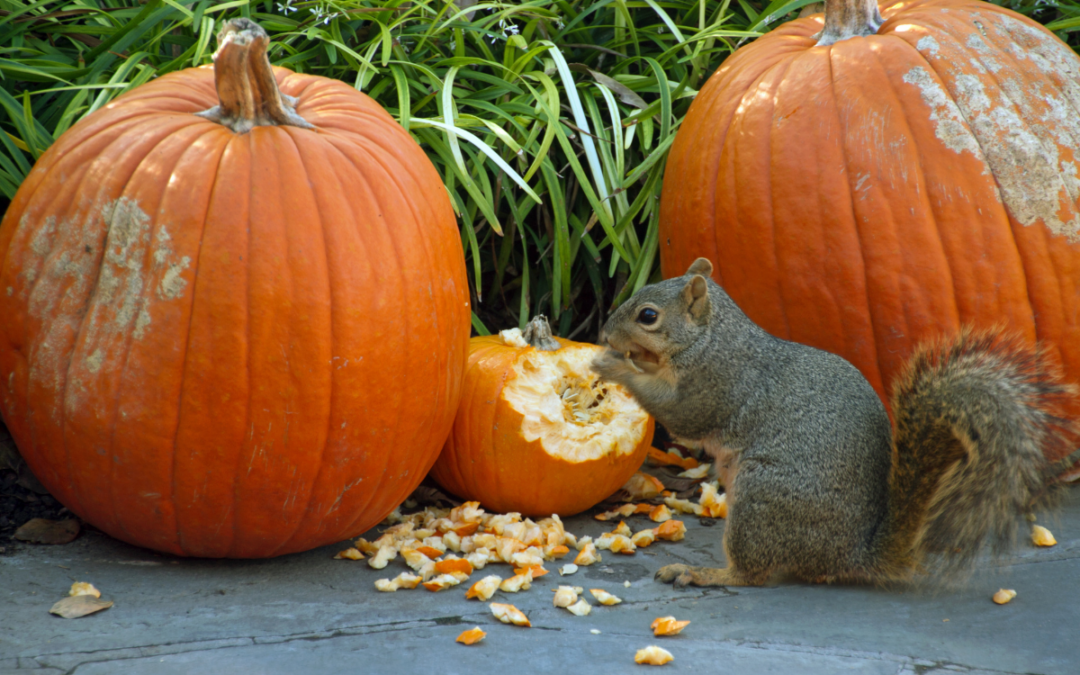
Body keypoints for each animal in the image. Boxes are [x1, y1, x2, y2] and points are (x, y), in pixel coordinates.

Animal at [592, 257, 1077, 587]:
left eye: (648, 316)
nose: (603, 332)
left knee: (752, 574)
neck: (712, 337)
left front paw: (612, 365)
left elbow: (681, 415)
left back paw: (702, 573)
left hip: (763, 497)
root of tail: (849, 555)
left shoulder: (715, 384)